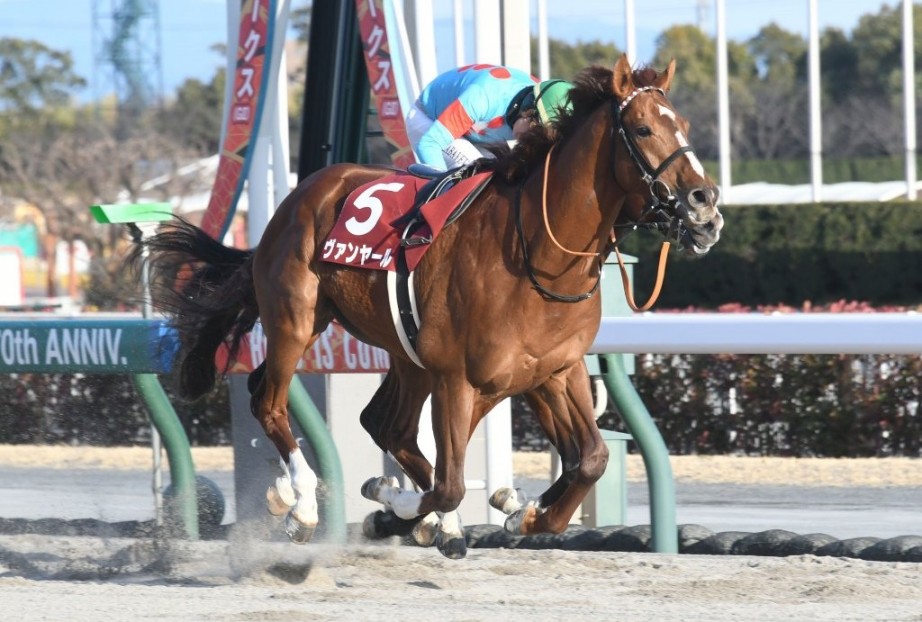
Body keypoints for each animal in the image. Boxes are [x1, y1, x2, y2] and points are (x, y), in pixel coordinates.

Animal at [142, 57, 720, 560]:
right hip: (296, 318)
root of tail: (294, 201)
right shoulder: (457, 377)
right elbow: (449, 485)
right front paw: (398, 504)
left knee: (380, 423)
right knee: (271, 401)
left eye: (684, 124)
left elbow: (590, 460)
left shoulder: (553, 370)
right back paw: (302, 504)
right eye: (642, 130)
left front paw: (521, 512)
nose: (706, 206)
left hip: (400, 351)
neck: (538, 253)